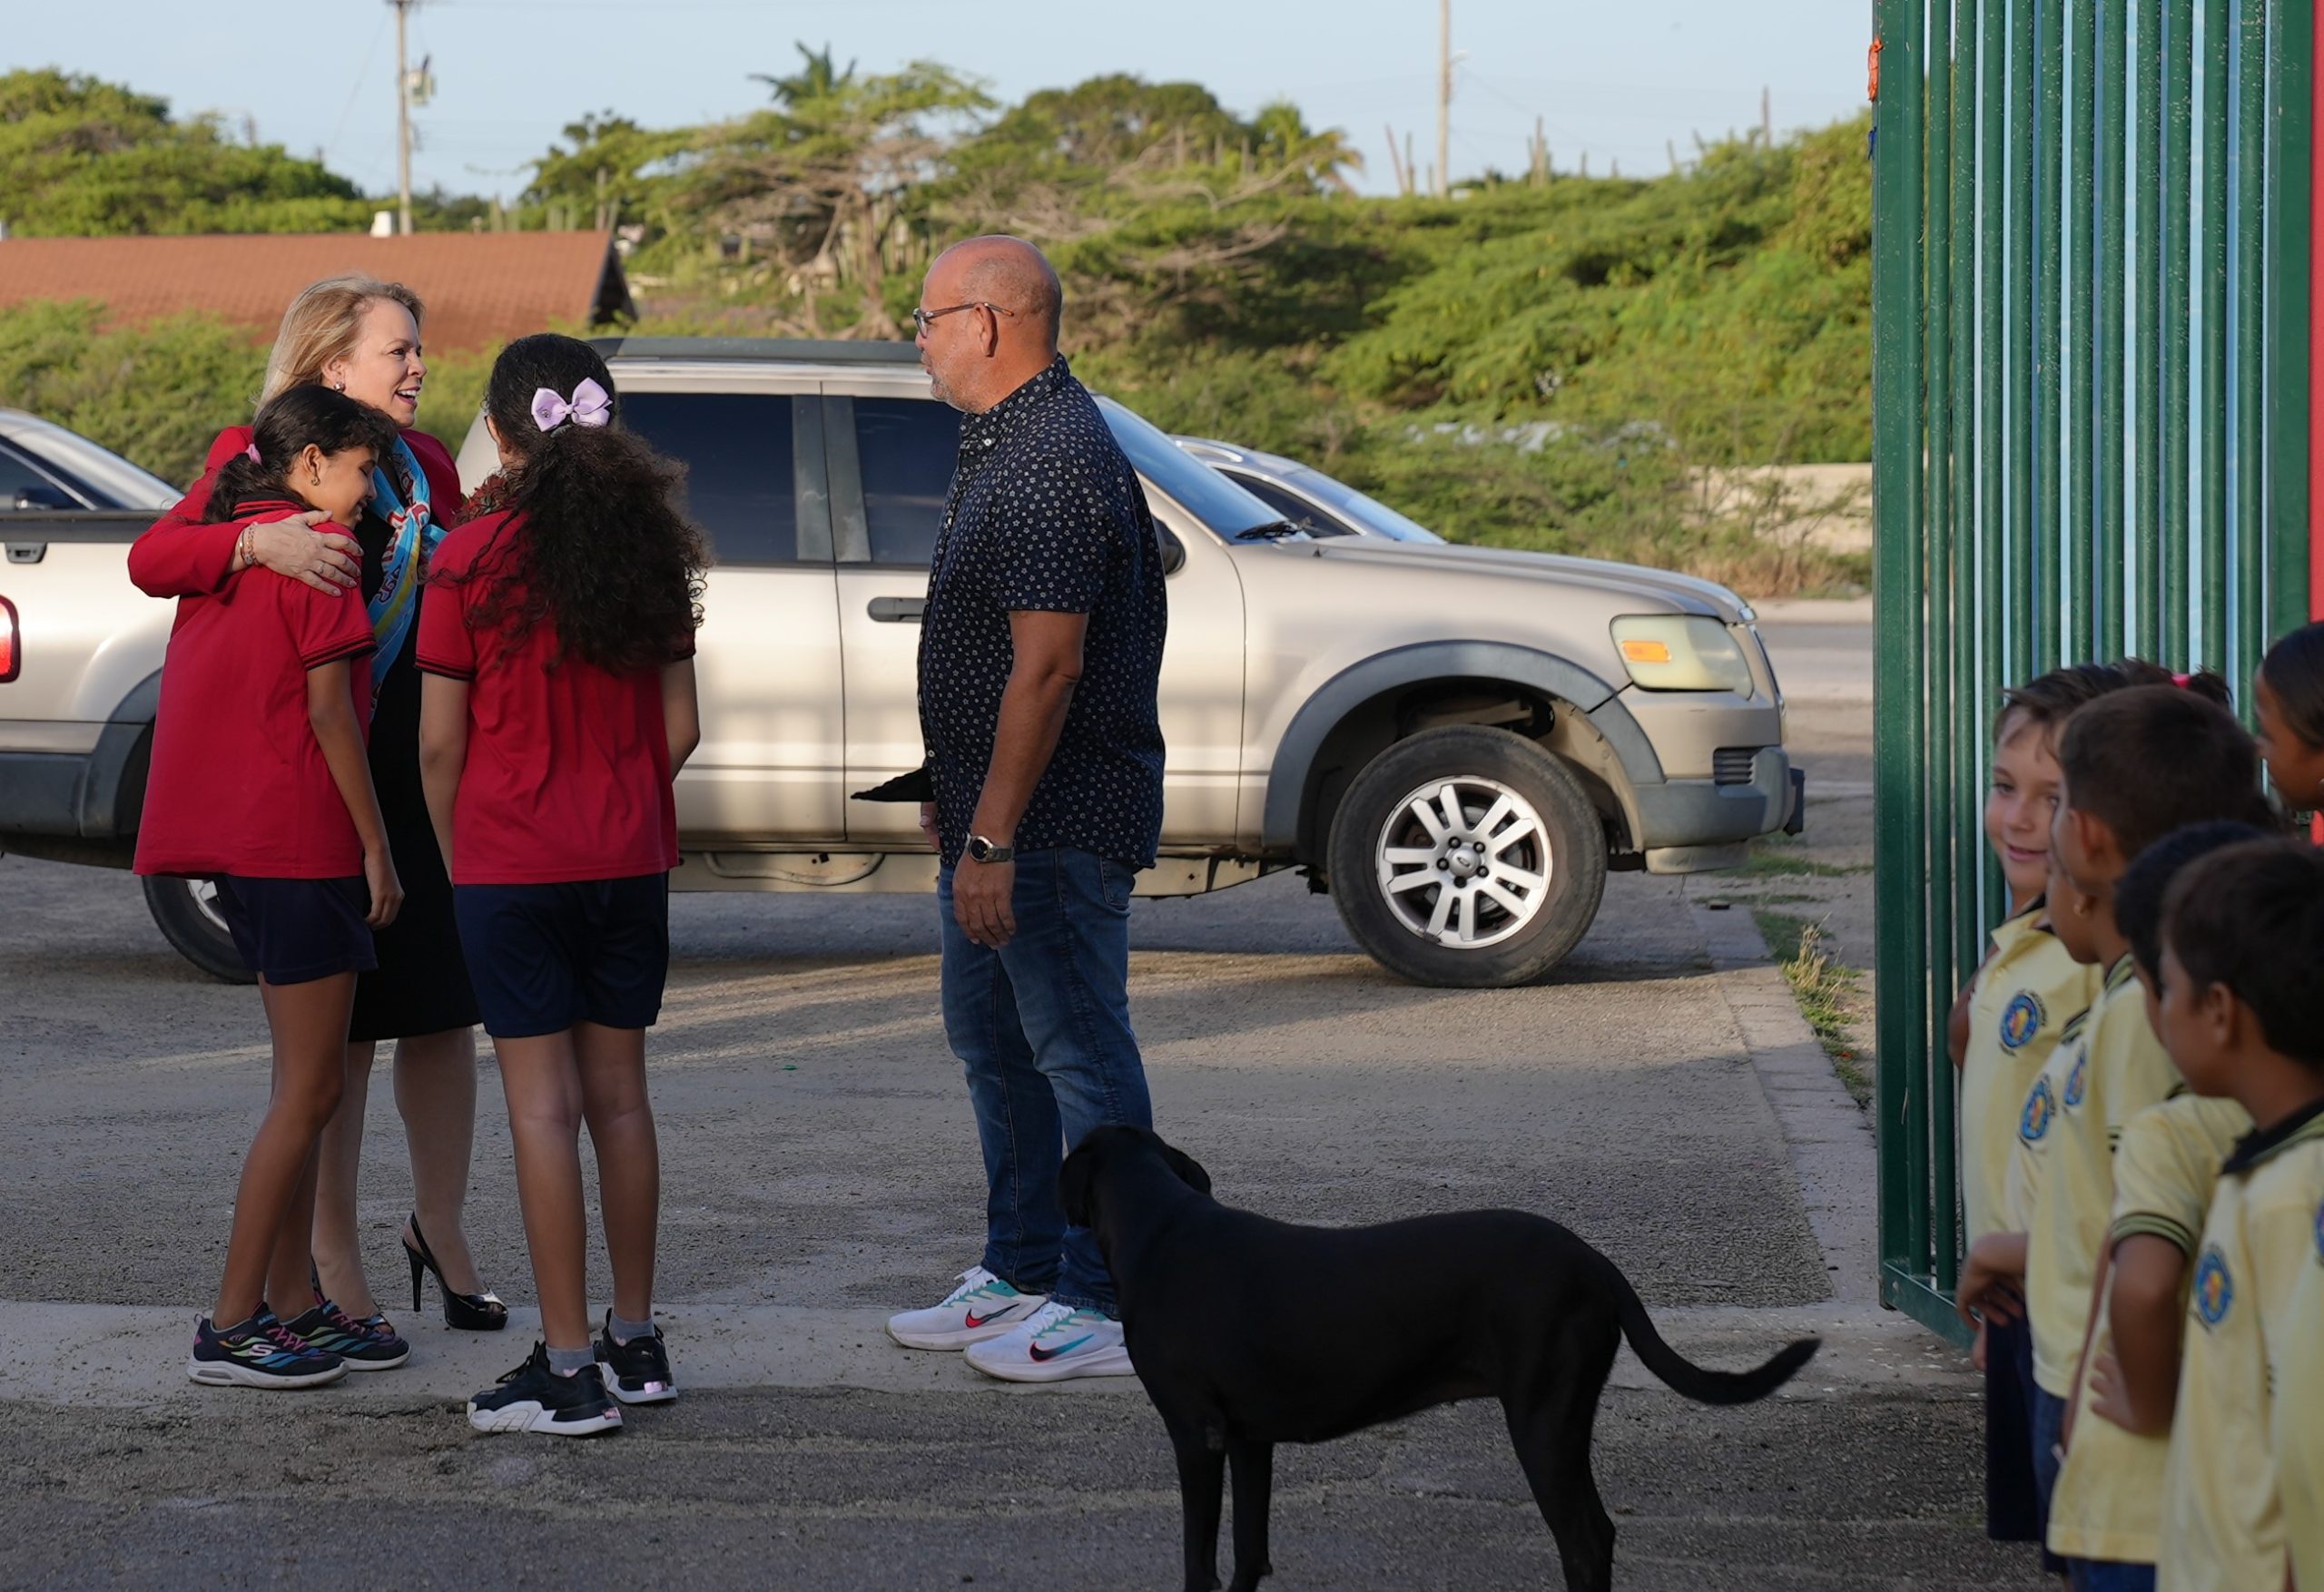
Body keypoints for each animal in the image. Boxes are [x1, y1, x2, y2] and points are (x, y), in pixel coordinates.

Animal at [1064, 1125, 1822, 1580]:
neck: (1161, 1231)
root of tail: (1596, 1263)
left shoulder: (1197, 1434)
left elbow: (1198, 1558)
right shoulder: (1251, 1440)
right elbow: (1251, 1553)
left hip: (1543, 1418)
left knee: (1584, 1540)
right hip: (1562, 1420)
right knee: (1600, 1535)